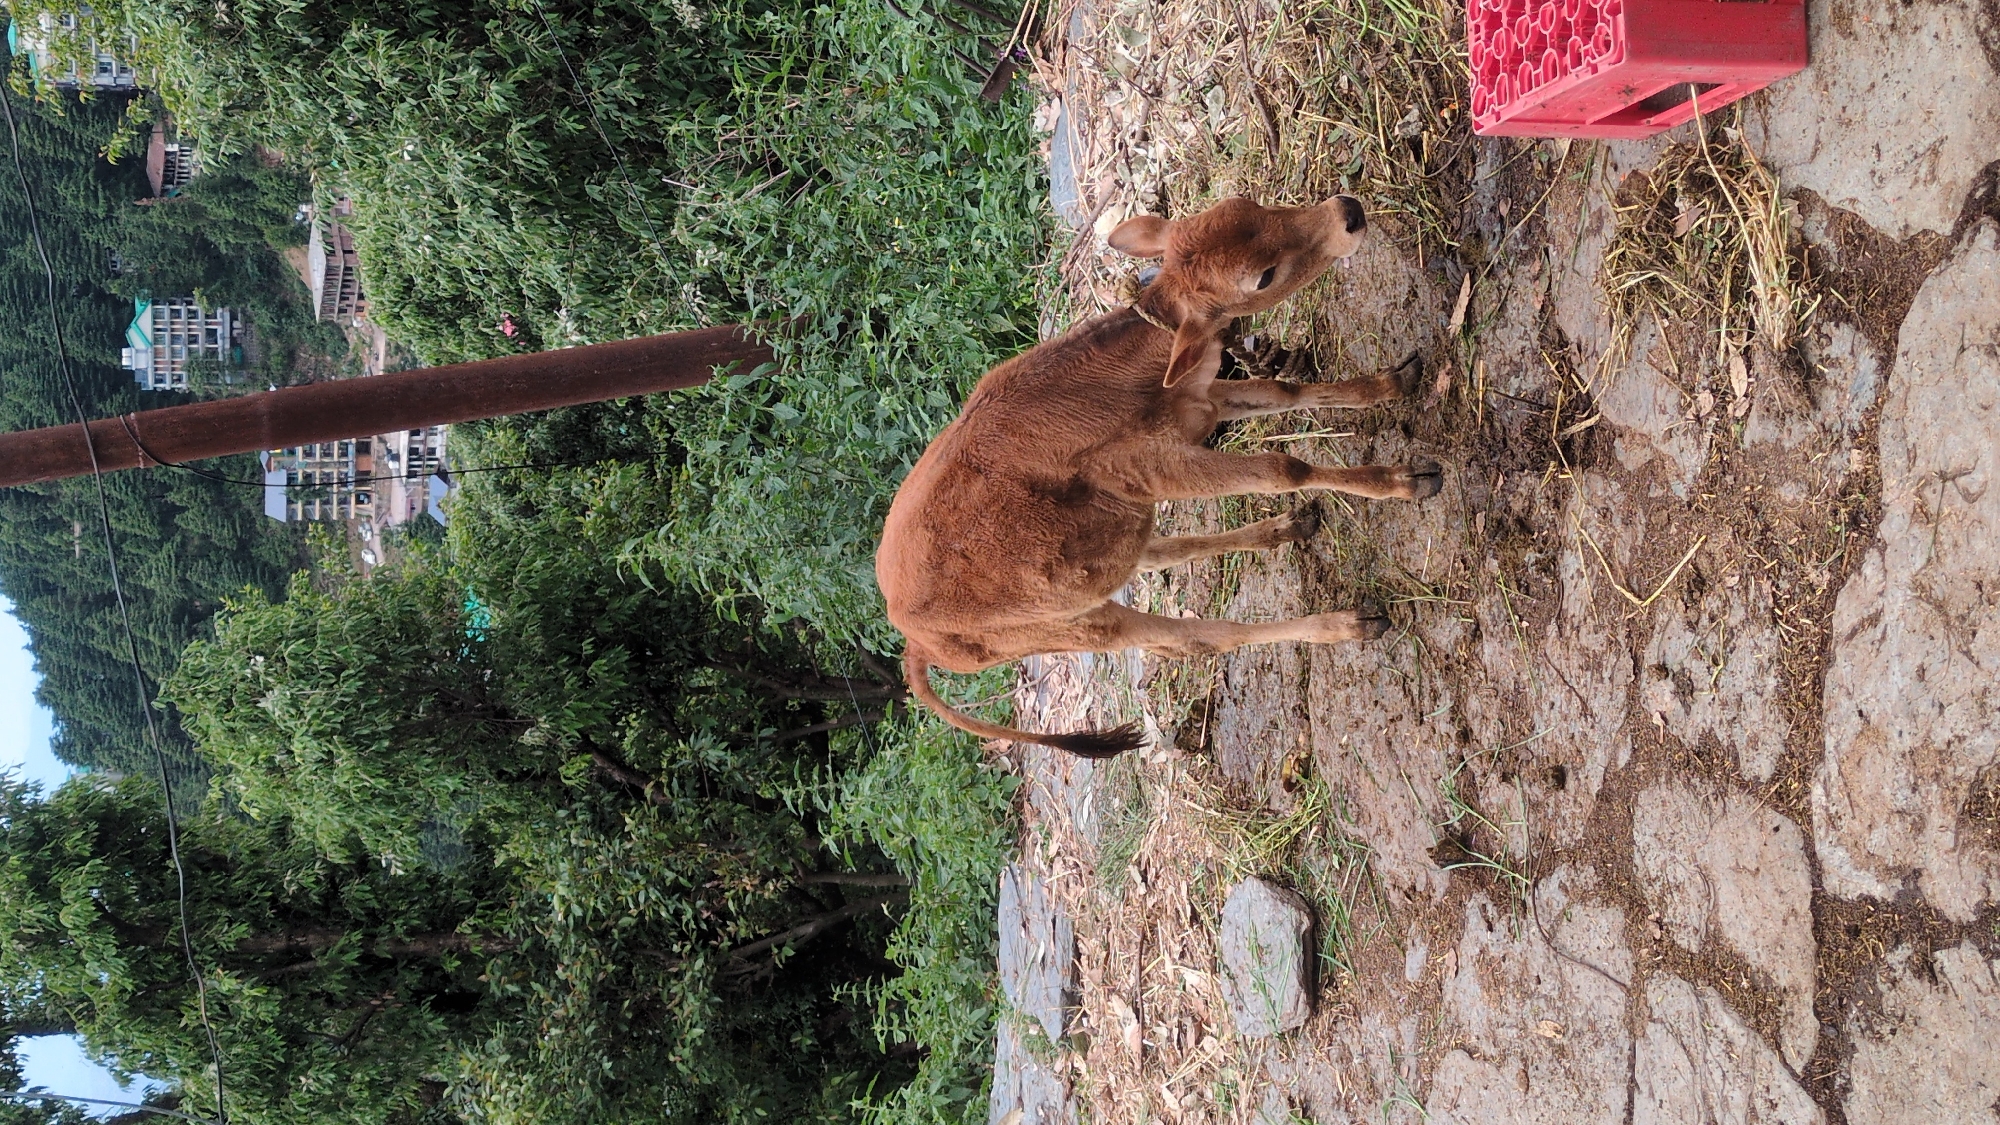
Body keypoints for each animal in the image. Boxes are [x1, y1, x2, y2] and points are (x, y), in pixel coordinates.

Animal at [875, 195, 1440, 758]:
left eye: (1249, 203)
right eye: (1263, 276)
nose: (1348, 211)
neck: (1127, 376)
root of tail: (912, 644)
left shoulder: (1201, 405)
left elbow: (1288, 391)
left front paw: (1390, 383)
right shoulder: (1157, 469)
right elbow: (1283, 467)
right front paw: (1403, 479)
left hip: (1109, 551)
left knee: (1162, 555)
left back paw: (1285, 528)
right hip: (1082, 627)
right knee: (1200, 638)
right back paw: (1348, 623)